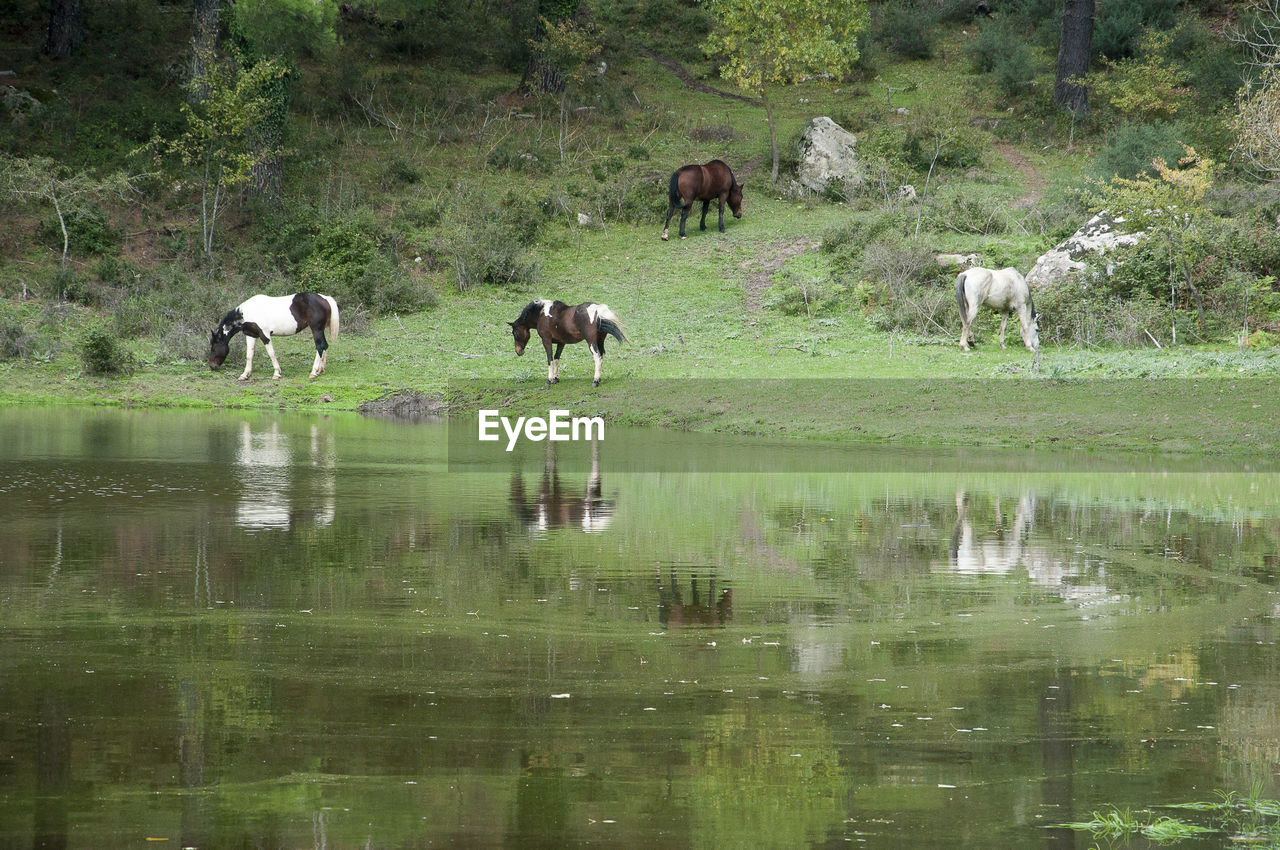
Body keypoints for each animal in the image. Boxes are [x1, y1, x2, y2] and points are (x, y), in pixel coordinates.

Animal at [204, 295, 337, 381]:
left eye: (214, 348)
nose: (212, 365)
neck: (247, 313)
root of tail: (325, 298)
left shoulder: (265, 335)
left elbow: (271, 353)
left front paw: (277, 373)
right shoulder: (251, 335)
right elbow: (249, 355)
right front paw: (245, 374)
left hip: (316, 329)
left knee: (319, 347)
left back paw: (313, 372)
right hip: (320, 330)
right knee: (324, 346)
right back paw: (320, 370)